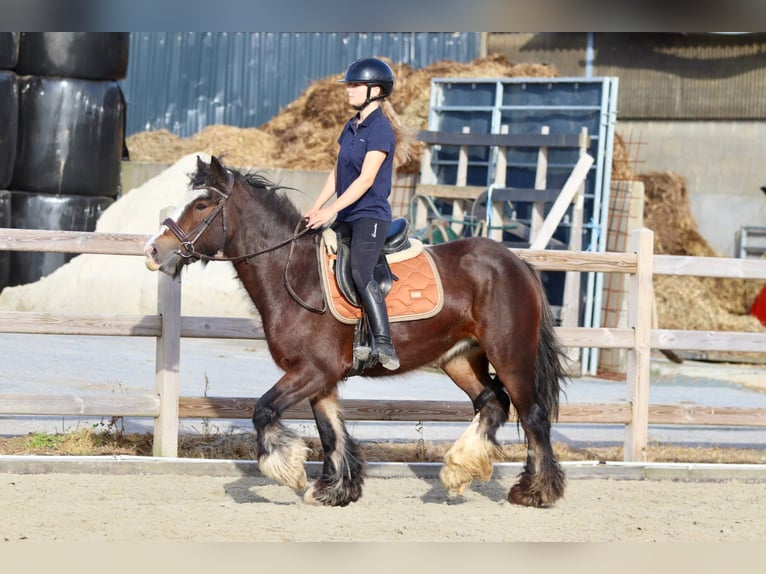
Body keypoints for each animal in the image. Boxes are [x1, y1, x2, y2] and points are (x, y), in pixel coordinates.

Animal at [146, 156, 568, 508]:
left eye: (202, 205)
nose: (153, 250)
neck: (296, 275)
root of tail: (516, 262)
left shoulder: (313, 370)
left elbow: (263, 411)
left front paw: (290, 470)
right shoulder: (321, 378)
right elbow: (330, 432)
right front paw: (335, 490)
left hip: (510, 355)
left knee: (532, 415)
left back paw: (536, 491)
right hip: (460, 359)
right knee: (493, 404)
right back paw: (460, 468)